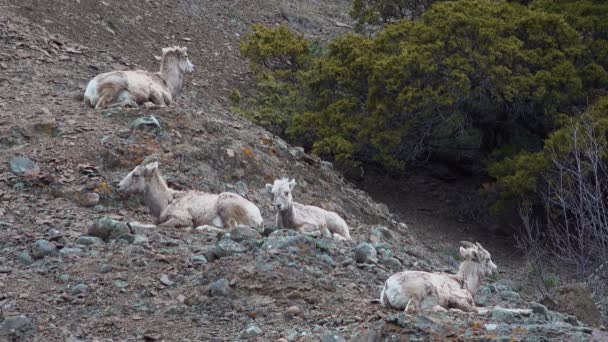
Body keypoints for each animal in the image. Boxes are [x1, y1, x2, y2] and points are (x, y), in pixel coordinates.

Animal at [117, 158, 262, 230]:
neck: (165, 202)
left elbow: (160, 225)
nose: (118, 186)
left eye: (136, 174)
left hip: (226, 207)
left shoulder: (182, 218)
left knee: (230, 228)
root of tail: (259, 218)